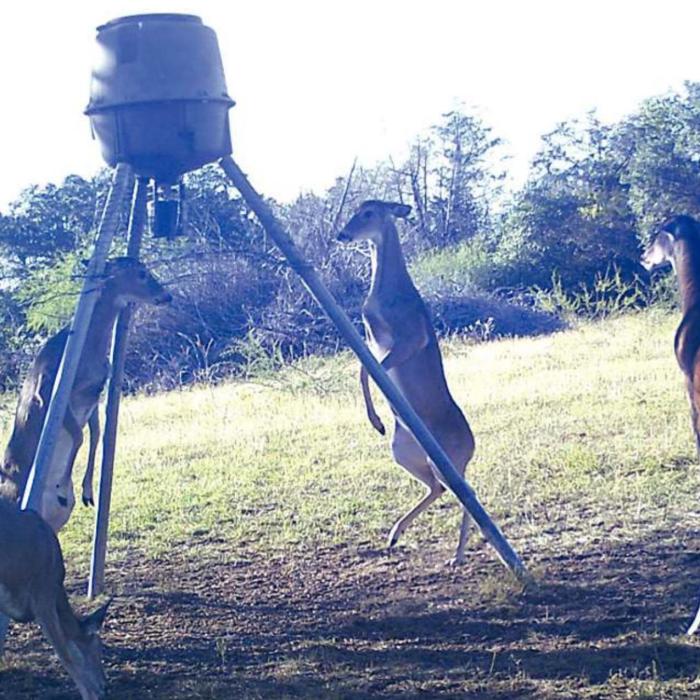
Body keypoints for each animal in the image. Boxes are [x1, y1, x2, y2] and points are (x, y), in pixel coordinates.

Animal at [0, 257, 172, 532]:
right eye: (142, 273)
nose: (167, 296)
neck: (88, 351)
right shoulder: (48, 386)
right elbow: (80, 436)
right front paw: (66, 482)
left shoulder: (94, 395)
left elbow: (96, 434)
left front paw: (87, 492)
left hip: (54, 520)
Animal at [337, 200, 476, 565]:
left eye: (368, 212)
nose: (342, 234)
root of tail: (472, 446)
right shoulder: (372, 340)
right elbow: (361, 368)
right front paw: (377, 420)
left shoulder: (411, 338)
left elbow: (364, 372)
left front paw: (377, 422)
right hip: (405, 453)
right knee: (439, 488)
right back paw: (394, 535)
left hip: (446, 459)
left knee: (465, 492)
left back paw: (457, 555)